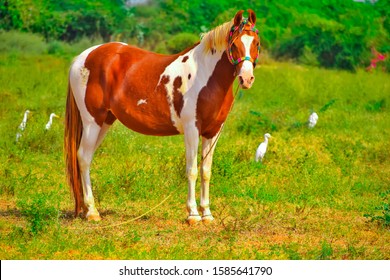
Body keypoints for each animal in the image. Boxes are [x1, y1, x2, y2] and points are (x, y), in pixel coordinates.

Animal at [64, 8, 260, 224]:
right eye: (234, 44)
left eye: (257, 43)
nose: (247, 79)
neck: (206, 76)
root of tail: (82, 57)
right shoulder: (192, 129)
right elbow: (192, 170)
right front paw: (193, 214)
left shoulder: (213, 131)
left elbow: (206, 171)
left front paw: (207, 214)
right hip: (92, 121)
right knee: (83, 157)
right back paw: (92, 212)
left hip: (105, 121)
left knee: (86, 157)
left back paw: (86, 209)